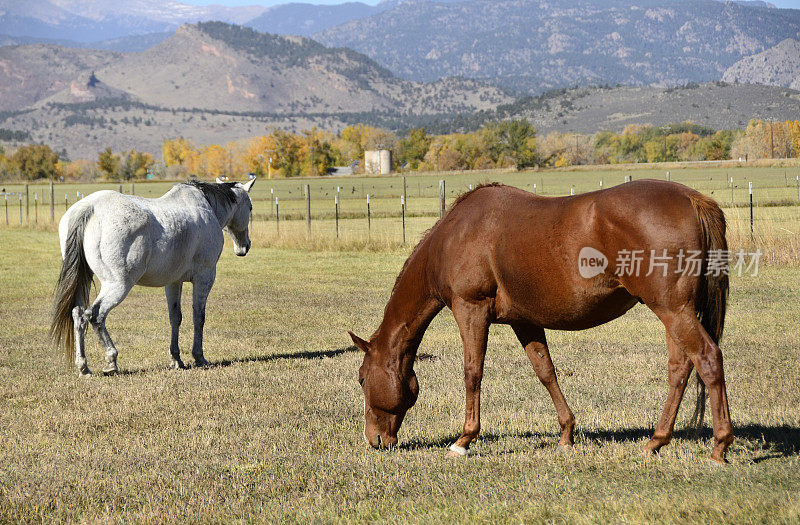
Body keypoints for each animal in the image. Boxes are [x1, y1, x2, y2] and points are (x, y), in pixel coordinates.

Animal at [50, 178, 255, 374]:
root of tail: (89, 207)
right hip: (118, 285)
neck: (205, 207)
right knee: (95, 316)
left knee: (78, 315)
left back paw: (83, 367)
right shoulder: (204, 277)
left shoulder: (173, 282)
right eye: (250, 207)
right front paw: (199, 357)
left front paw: (176, 359)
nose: (245, 247)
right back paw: (111, 361)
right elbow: (199, 316)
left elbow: (175, 317)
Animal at [346, 180, 736, 462]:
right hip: (673, 312)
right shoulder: (525, 321)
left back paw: (719, 446)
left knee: (708, 359)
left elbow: (473, 373)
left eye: (362, 378)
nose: (375, 440)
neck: (456, 235)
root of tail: (692, 198)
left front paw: (464, 440)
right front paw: (566, 433)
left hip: (673, 310)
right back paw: (656, 441)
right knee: (680, 368)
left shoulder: (470, 310)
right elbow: (546, 372)